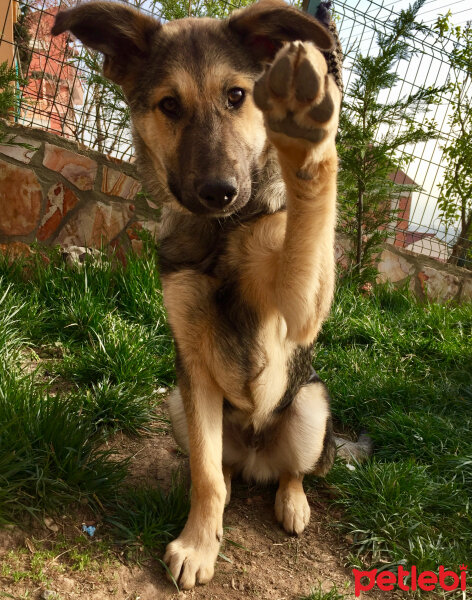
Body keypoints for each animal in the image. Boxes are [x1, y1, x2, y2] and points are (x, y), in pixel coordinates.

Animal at [53, 0, 342, 588]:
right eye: (170, 105)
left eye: (236, 96)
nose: (218, 193)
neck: (221, 232)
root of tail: (255, 457)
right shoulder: (192, 362)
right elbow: (205, 475)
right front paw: (199, 544)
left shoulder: (296, 308)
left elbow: (310, 213)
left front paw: (306, 128)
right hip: (177, 403)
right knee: (223, 467)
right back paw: (234, 486)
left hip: (310, 406)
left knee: (295, 472)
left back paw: (293, 501)